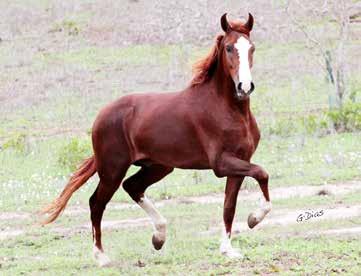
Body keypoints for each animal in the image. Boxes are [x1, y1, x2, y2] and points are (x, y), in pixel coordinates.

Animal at [40, 13, 270, 268]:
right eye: (229, 47)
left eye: (252, 47)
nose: (244, 87)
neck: (228, 109)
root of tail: (102, 115)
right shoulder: (221, 163)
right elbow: (262, 173)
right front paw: (254, 219)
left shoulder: (239, 162)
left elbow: (229, 206)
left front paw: (228, 250)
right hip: (112, 169)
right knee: (97, 203)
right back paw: (102, 257)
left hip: (159, 166)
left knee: (132, 186)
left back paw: (159, 237)